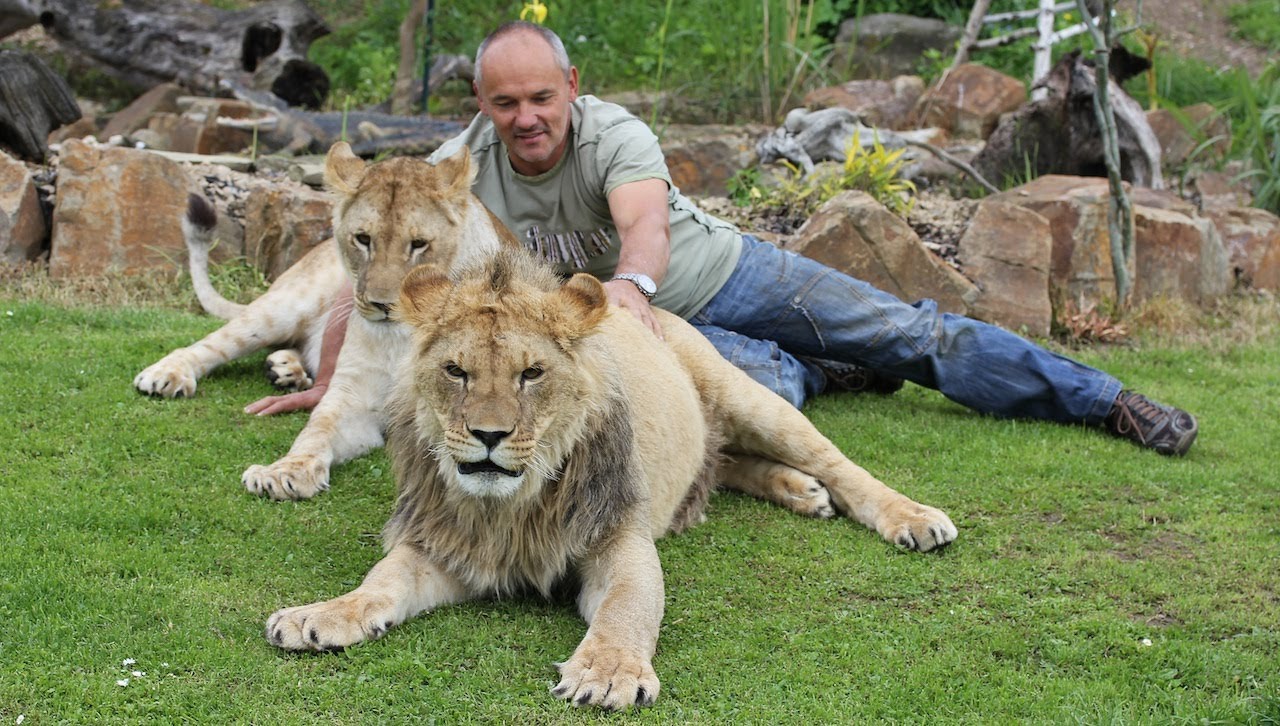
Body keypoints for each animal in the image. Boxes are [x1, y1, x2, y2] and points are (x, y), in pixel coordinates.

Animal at [135, 142, 514, 499]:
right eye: (363, 239)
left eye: (419, 244)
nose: (383, 305)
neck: (404, 338)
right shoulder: (354, 394)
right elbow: (317, 429)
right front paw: (284, 472)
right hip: (286, 306)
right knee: (213, 342)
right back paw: (166, 375)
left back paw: (285, 369)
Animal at [267, 244, 952, 711]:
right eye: (456, 372)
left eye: (532, 373)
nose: (488, 436)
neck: (510, 507)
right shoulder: (449, 546)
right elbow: (381, 582)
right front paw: (320, 615)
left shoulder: (619, 539)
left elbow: (629, 605)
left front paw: (609, 671)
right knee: (727, 463)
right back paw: (801, 492)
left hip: (752, 400)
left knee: (837, 463)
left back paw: (910, 517)